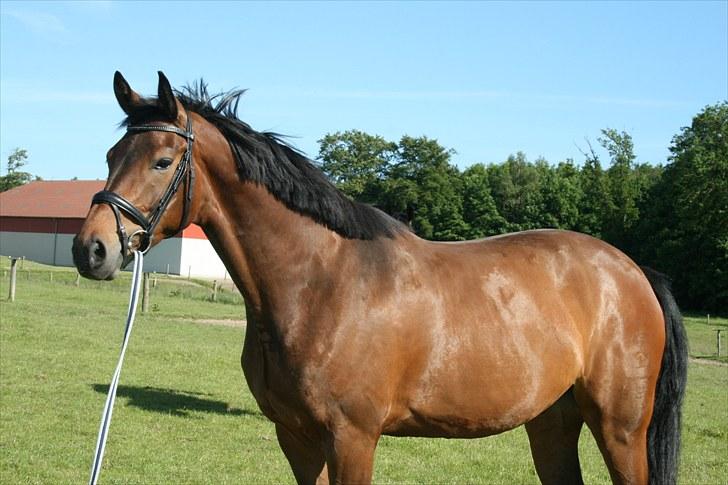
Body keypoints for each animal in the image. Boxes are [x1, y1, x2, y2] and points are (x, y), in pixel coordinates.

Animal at [72, 72, 688, 484]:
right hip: (552, 425)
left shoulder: (352, 438)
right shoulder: (296, 438)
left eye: (161, 160)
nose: (92, 249)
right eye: (110, 154)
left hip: (620, 429)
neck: (320, 285)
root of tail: (633, 271)